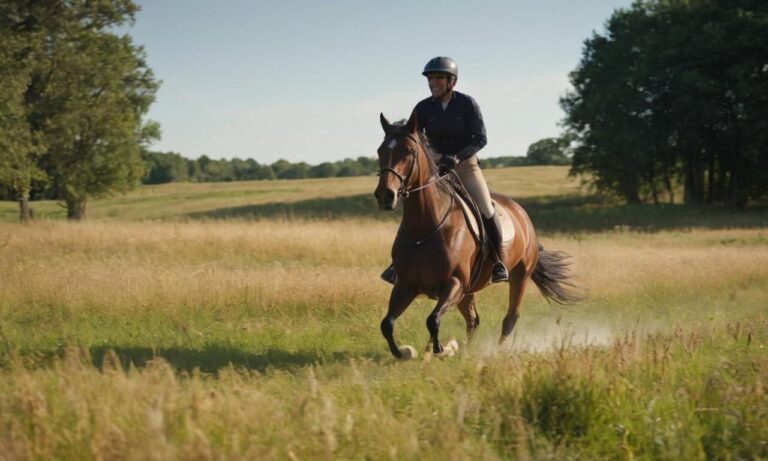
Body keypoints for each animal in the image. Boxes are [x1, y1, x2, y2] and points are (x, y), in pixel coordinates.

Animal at [374, 111, 584, 360]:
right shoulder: (406, 285)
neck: (423, 228)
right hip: (469, 291)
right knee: (473, 321)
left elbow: (432, 320)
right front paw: (404, 353)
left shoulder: (455, 283)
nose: (385, 196)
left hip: (519, 276)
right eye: (380, 151)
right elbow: (387, 324)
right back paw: (468, 350)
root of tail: (523, 215)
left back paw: (495, 351)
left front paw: (441, 349)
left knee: (510, 318)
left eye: (408, 151)